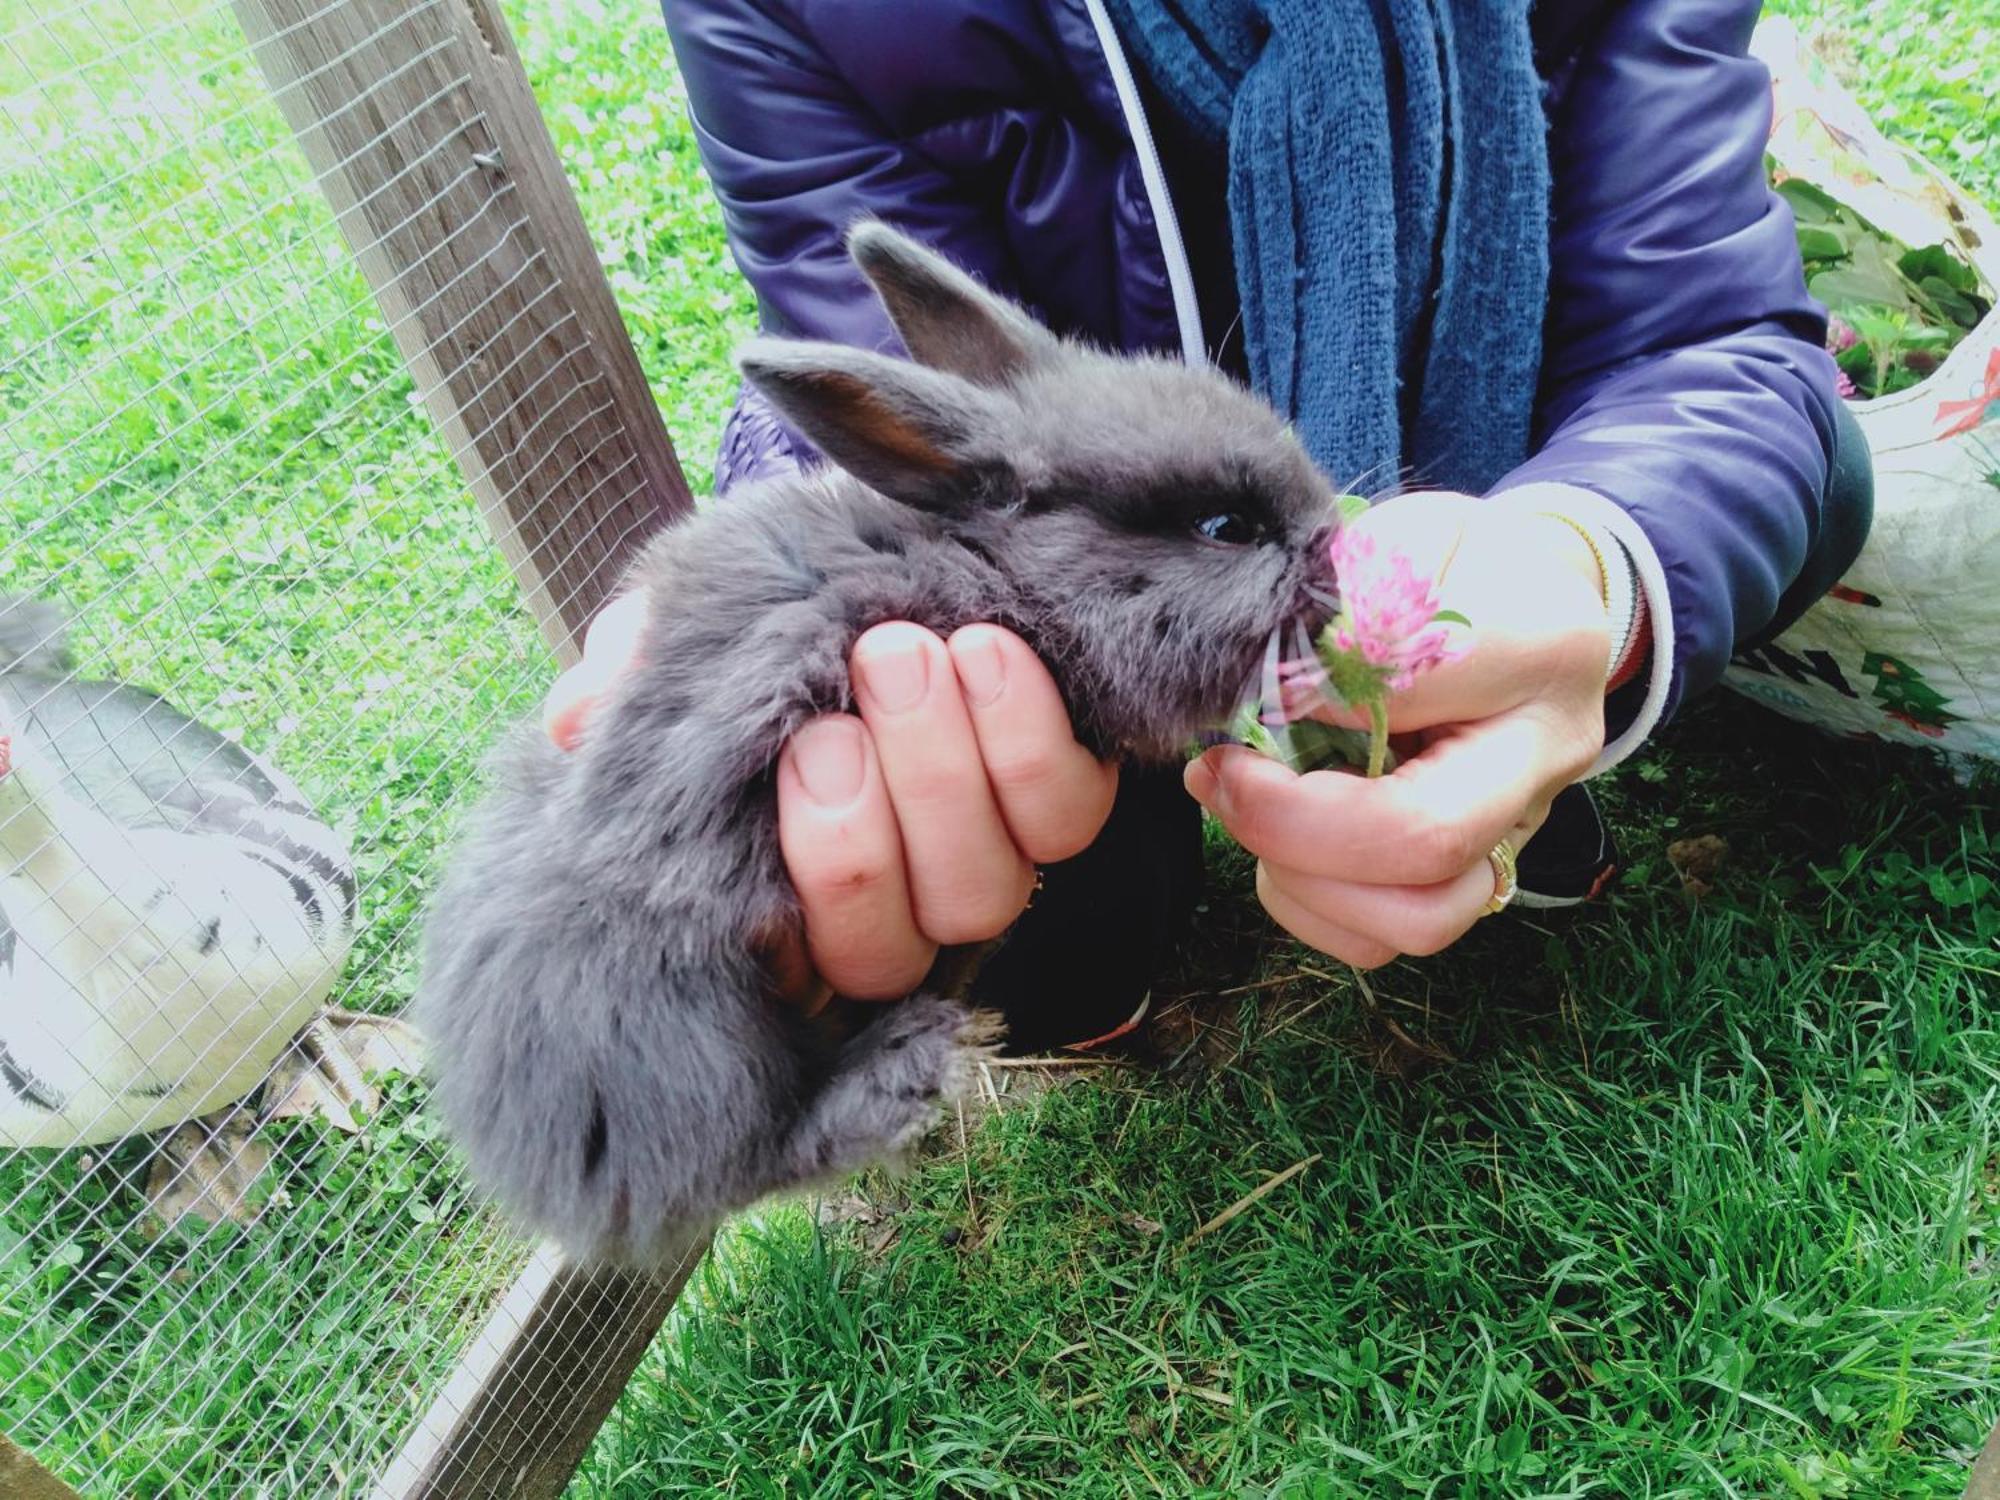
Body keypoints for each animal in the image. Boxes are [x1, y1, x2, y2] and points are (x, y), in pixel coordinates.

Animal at [420, 223, 1344, 1272]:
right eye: (1225, 526)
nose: (1333, 539)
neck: (995, 570)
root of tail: (530, 1160)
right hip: (685, 1032)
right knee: (743, 1159)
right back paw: (908, 1067)